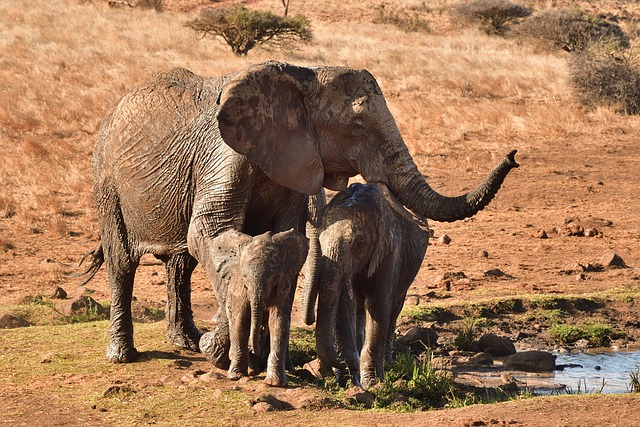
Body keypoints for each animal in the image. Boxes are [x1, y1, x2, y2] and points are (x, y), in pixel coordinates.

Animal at [201, 231, 308, 388]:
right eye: (245, 276)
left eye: (273, 277)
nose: (254, 350)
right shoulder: (239, 287)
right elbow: (240, 320)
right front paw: (236, 376)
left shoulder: (283, 284)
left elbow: (278, 322)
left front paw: (275, 383)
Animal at [304, 182, 430, 390]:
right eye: (320, 241)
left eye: (360, 243)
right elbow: (344, 307)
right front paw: (347, 382)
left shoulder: (390, 249)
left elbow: (378, 305)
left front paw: (373, 383)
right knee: (359, 312)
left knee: (393, 310)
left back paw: (389, 363)